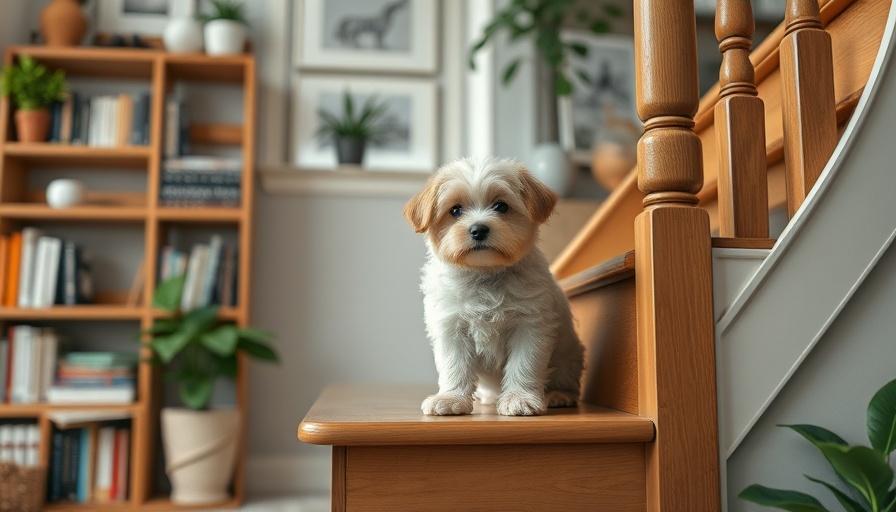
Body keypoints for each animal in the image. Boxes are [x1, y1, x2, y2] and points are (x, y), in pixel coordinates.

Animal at [402, 156, 584, 416]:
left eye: (501, 207)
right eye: (455, 210)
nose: (478, 229)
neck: (484, 275)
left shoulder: (530, 326)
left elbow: (523, 364)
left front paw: (519, 398)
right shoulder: (451, 328)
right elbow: (454, 366)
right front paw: (451, 398)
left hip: (568, 356)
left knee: (566, 379)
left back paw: (558, 394)